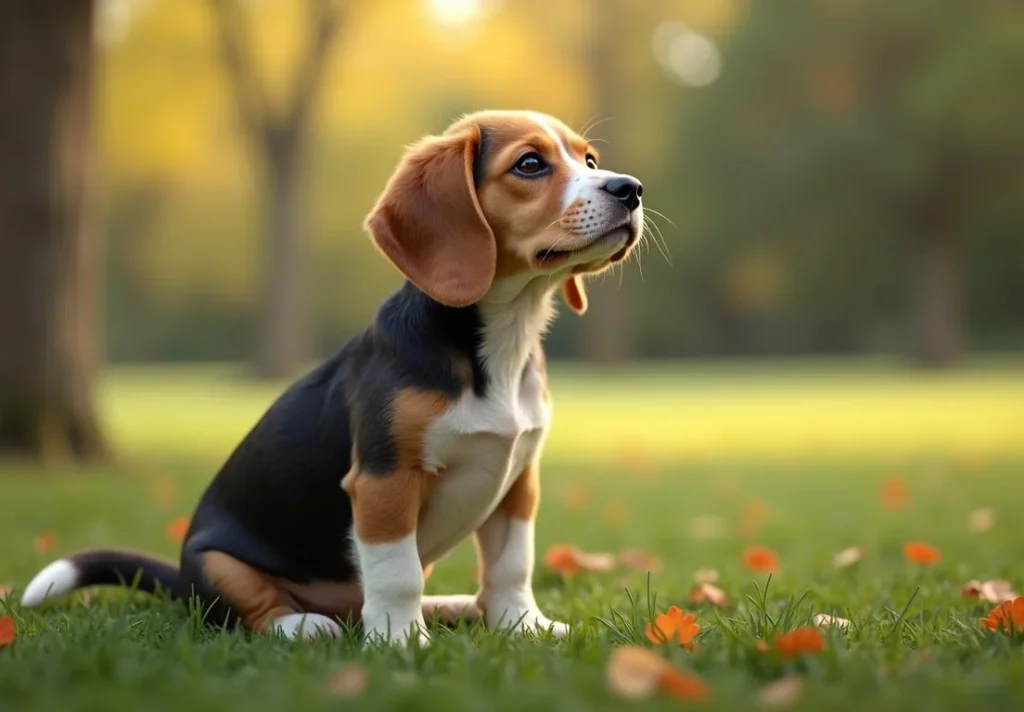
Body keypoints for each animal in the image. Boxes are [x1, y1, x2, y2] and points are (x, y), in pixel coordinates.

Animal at [19, 110, 643, 647]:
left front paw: (522, 625)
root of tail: (181, 579)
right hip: (217, 562)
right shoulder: (384, 481)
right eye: (530, 164)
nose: (630, 188)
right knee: (255, 613)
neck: (503, 339)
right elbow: (396, 572)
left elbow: (512, 566)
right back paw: (306, 625)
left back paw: (455, 606)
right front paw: (400, 642)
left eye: (589, 159)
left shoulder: (518, 483)